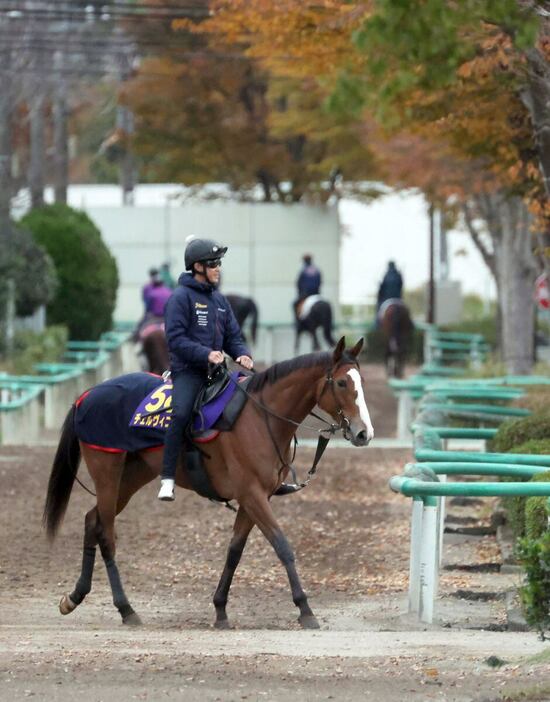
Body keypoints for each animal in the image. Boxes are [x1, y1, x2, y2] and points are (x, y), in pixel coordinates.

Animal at [43, 338, 376, 628]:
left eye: (361, 382)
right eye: (342, 383)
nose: (364, 433)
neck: (258, 418)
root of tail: (86, 395)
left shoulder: (255, 499)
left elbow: (235, 551)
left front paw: (220, 609)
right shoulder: (252, 495)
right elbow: (282, 546)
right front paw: (305, 608)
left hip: (132, 476)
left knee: (92, 520)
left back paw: (75, 597)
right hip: (108, 473)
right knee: (106, 534)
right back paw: (126, 609)